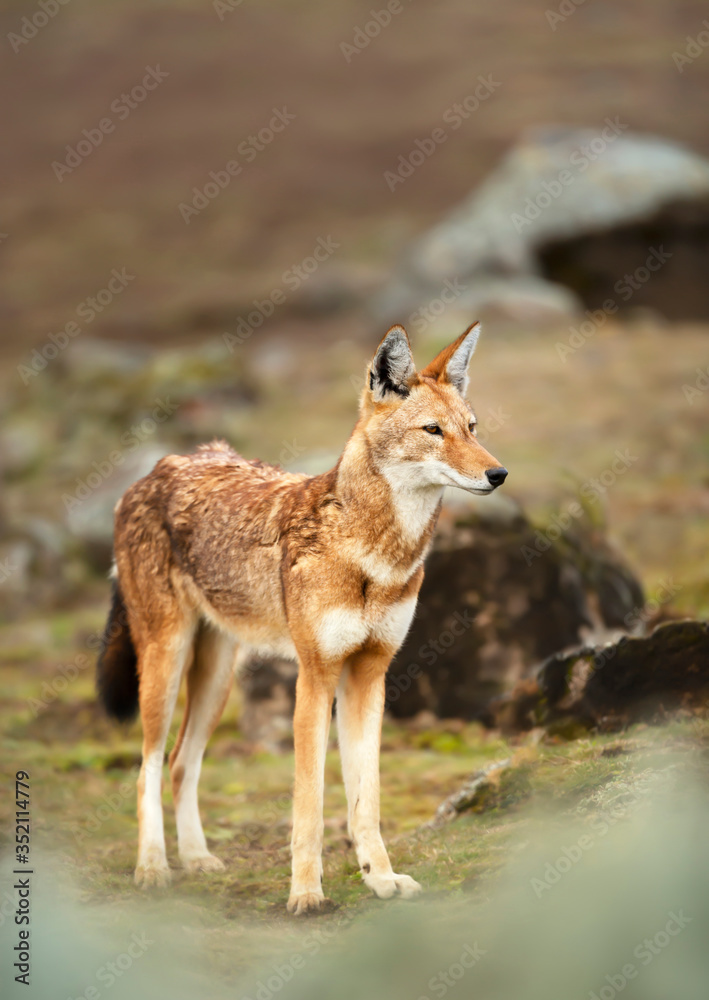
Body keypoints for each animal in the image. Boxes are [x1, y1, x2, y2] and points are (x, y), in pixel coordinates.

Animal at [97, 322, 507, 914]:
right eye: (434, 430)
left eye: (471, 429)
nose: (499, 473)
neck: (375, 555)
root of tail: (157, 468)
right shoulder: (315, 676)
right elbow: (309, 802)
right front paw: (307, 894)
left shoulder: (369, 675)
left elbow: (366, 801)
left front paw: (381, 879)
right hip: (165, 665)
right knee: (147, 767)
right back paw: (152, 866)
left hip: (216, 681)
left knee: (180, 763)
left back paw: (197, 859)